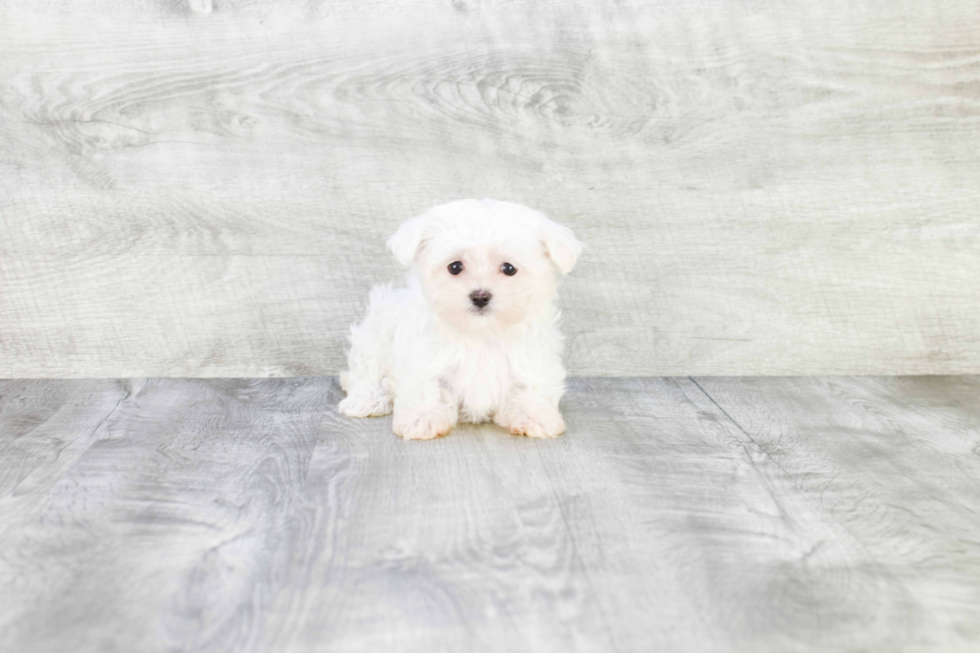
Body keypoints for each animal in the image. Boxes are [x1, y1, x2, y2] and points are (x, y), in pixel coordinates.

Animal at [336, 197, 580, 438]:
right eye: (455, 267)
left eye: (509, 268)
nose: (480, 296)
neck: (481, 333)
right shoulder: (423, 359)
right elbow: (427, 387)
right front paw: (422, 419)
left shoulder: (533, 360)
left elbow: (532, 388)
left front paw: (533, 416)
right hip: (377, 330)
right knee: (363, 373)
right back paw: (367, 400)